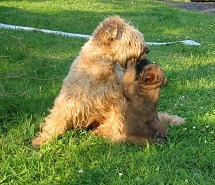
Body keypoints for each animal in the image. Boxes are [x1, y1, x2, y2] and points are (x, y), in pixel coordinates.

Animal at [32, 15, 149, 147]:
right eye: (130, 40)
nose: (147, 49)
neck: (102, 66)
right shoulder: (69, 99)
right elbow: (57, 118)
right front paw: (43, 139)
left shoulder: (116, 101)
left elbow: (115, 120)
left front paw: (116, 137)